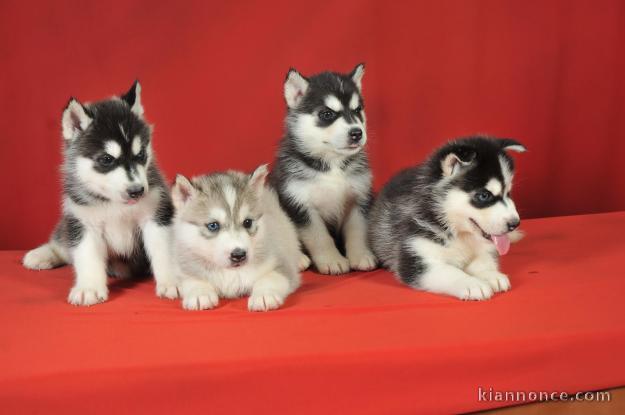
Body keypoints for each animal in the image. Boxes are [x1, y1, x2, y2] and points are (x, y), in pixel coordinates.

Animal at [22, 83, 178, 308]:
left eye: (141, 154)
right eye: (106, 159)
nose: (137, 191)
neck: (115, 204)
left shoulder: (157, 216)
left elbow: (165, 250)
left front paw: (174, 280)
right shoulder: (83, 222)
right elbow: (86, 255)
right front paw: (89, 288)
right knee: (63, 243)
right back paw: (41, 254)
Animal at [169, 166, 298, 312]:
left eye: (247, 222)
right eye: (213, 225)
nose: (239, 255)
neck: (230, 272)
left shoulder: (282, 264)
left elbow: (270, 278)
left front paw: (264, 295)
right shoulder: (185, 267)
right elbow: (192, 280)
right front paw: (200, 294)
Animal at [268, 65, 376, 276]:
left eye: (357, 110)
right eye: (327, 114)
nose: (357, 133)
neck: (331, 165)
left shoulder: (358, 198)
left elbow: (358, 230)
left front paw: (361, 256)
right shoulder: (300, 203)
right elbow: (319, 237)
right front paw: (333, 260)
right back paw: (299, 259)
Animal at [370, 138, 528, 300]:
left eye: (508, 193)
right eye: (484, 195)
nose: (515, 224)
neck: (458, 232)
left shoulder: (483, 247)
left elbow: (483, 259)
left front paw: (490, 275)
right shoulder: (415, 256)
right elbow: (450, 272)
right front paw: (472, 283)